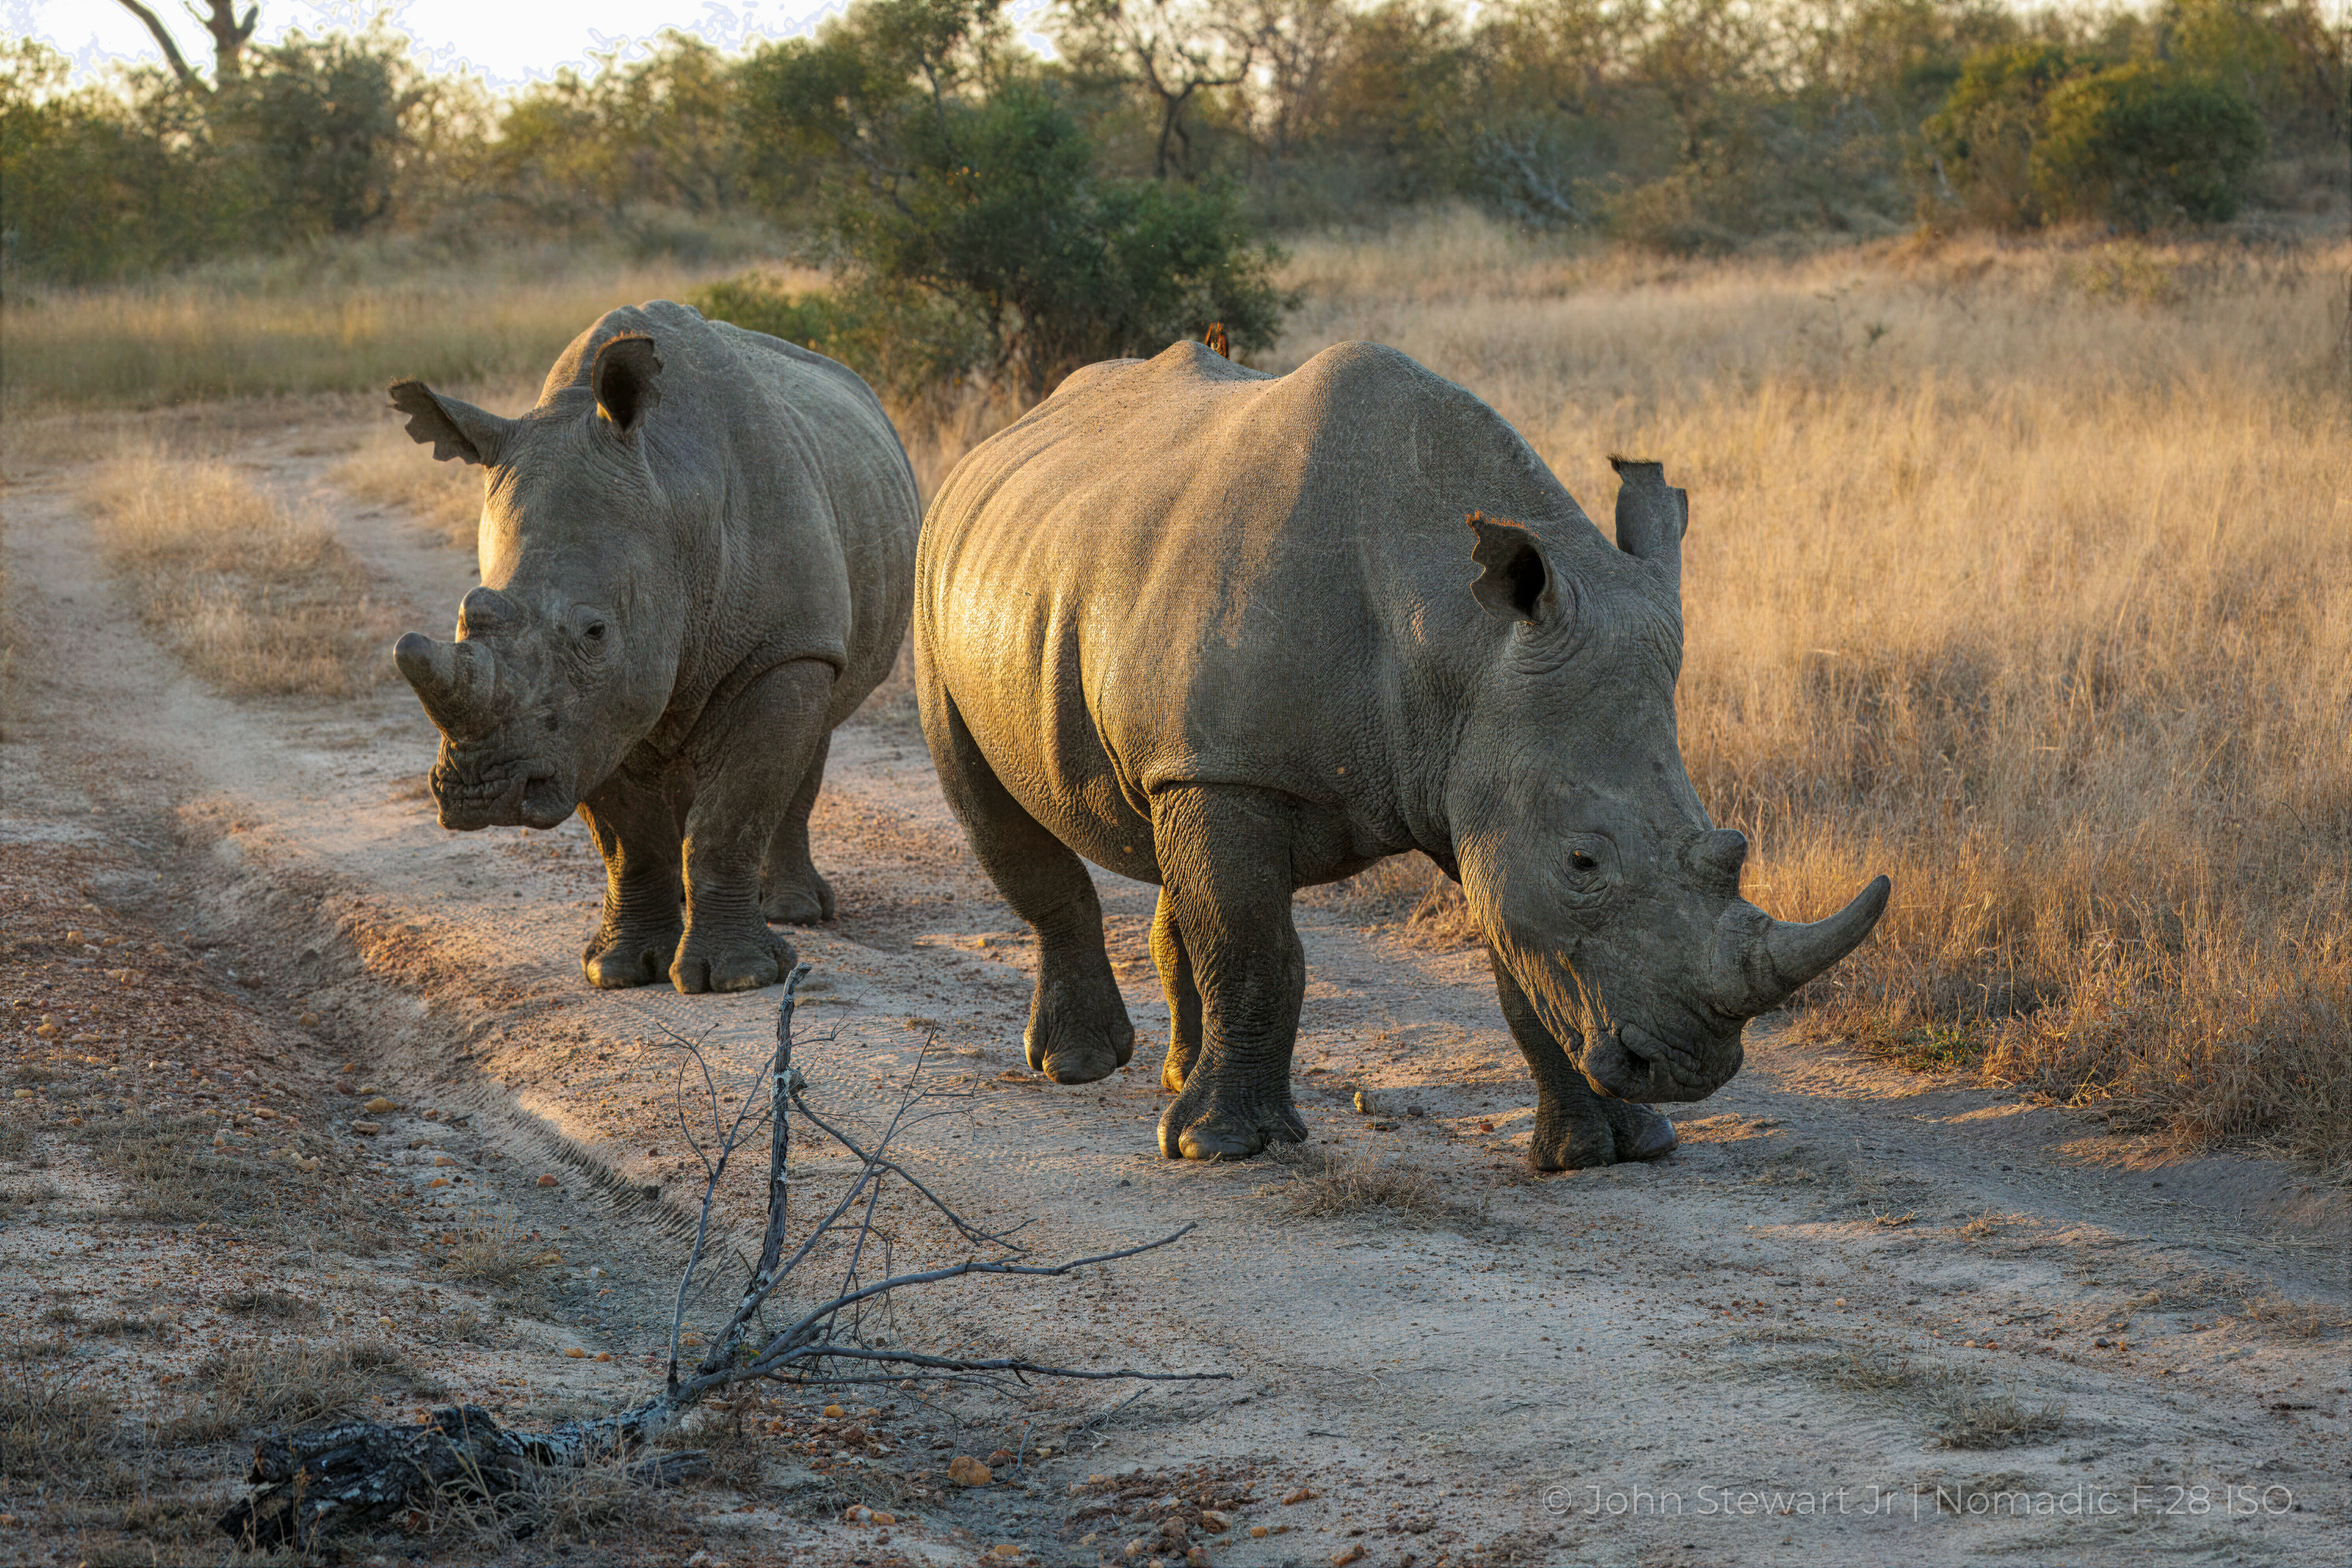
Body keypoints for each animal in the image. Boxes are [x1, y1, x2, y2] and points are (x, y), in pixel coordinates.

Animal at [387, 301, 920, 993]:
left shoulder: (780, 646)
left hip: (811, 631)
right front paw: (618, 971)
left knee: (814, 727)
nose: (482, 792)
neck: (674, 504)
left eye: (594, 633)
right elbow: (629, 840)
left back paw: (795, 911)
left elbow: (730, 816)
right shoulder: (594, 714)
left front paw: (738, 978)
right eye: (466, 616)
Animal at [916, 340, 1888, 1166]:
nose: (1694, 1067)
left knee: (1166, 852)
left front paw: (1614, 1149)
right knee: (994, 805)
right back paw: (1084, 1069)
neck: (1455, 639)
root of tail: (996, 440)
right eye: (1583, 861)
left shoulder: (1473, 766)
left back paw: (1172, 1077)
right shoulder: (1227, 766)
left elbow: (1522, 954)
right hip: (942, 578)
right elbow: (1254, 947)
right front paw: (1224, 1149)